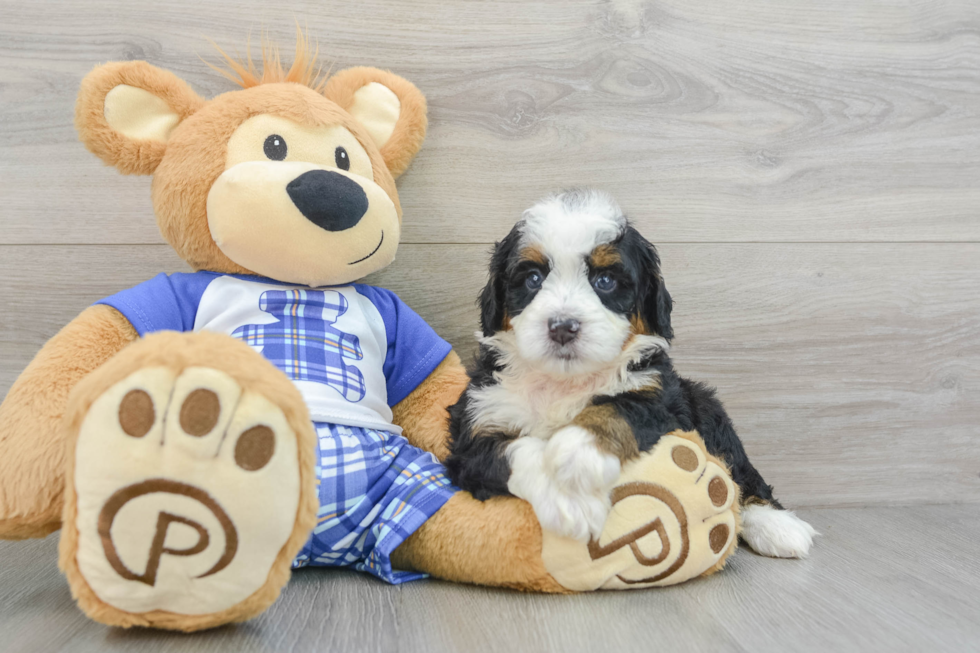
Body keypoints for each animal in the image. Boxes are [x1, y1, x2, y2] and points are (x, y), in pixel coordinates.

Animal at [444, 187, 812, 556]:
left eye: (605, 280)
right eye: (533, 278)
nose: (562, 327)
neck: (564, 383)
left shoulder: (658, 396)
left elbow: (614, 409)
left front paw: (578, 456)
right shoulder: (476, 427)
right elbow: (515, 451)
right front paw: (569, 502)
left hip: (704, 402)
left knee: (739, 469)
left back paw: (777, 526)